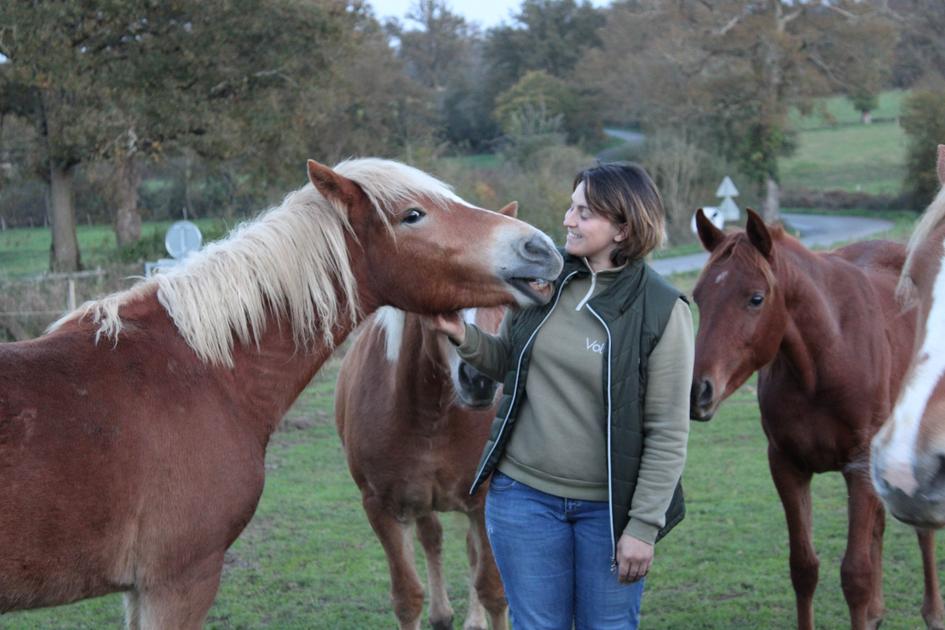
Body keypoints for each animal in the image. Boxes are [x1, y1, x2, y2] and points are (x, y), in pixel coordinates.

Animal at [336, 299, 508, 630]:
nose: (479, 379)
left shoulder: (484, 502)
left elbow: (493, 591)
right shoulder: (383, 507)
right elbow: (407, 598)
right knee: (432, 537)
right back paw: (442, 615)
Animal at [689, 208, 943, 630]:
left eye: (756, 298)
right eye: (698, 297)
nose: (698, 391)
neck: (826, 357)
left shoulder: (858, 467)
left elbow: (855, 575)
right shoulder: (787, 466)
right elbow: (804, 568)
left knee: (922, 528)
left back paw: (933, 613)